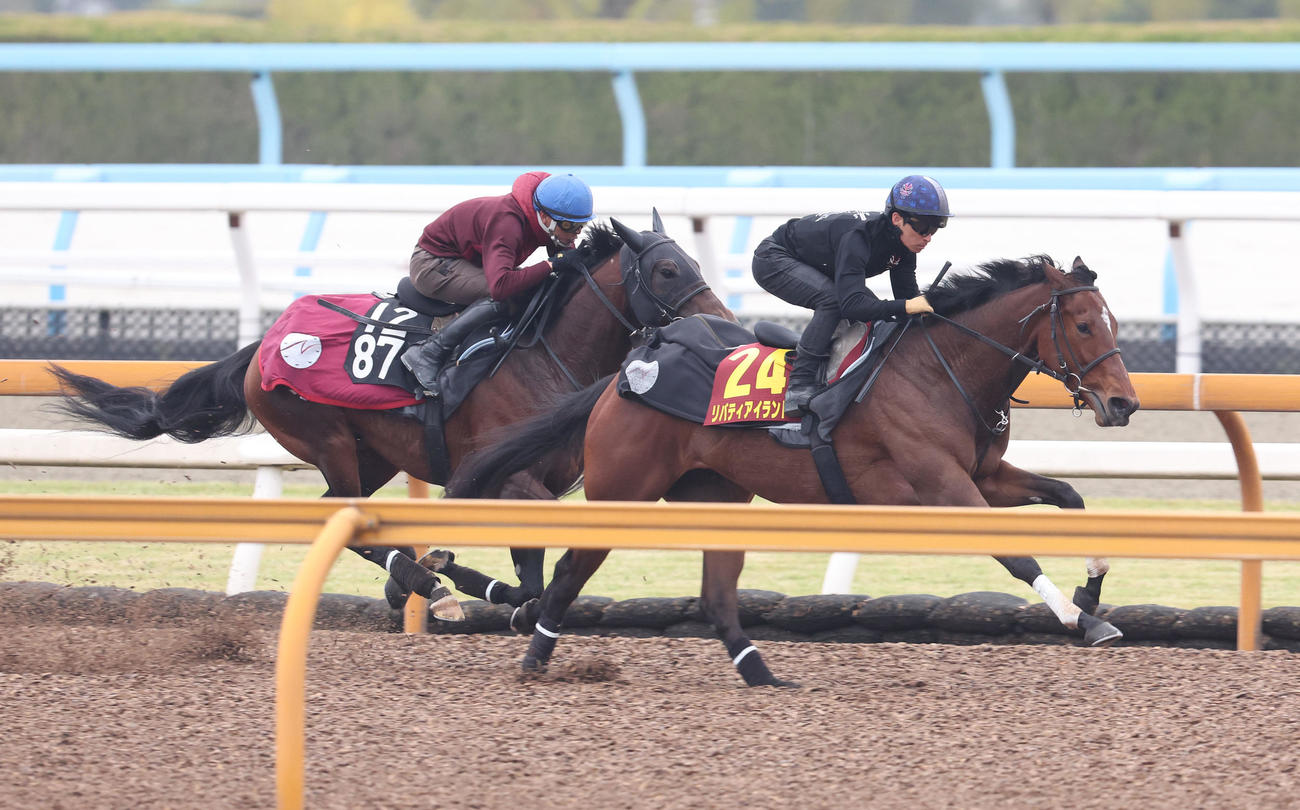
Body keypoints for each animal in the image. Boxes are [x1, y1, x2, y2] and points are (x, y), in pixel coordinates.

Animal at [48, 214, 732, 623]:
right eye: (668, 268)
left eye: (694, 263)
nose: (722, 321)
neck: (545, 353)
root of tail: (265, 340)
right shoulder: (505, 475)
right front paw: (442, 574)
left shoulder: (525, 479)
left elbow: (530, 579)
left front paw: (480, 585)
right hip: (325, 437)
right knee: (348, 522)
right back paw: (427, 587)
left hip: (369, 454)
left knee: (348, 516)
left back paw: (419, 580)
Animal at [448, 255, 1141, 686]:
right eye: (1084, 324)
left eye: (1112, 323)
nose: (1123, 404)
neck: (940, 369)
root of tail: (625, 375)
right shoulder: (941, 487)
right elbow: (1018, 555)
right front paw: (1078, 617)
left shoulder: (985, 479)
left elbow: (1071, 499)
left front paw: (1092, 596)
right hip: (624, 490)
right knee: (571, 570)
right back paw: (535, 653)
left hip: (717, 496)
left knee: (716, 596)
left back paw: (761, 673)